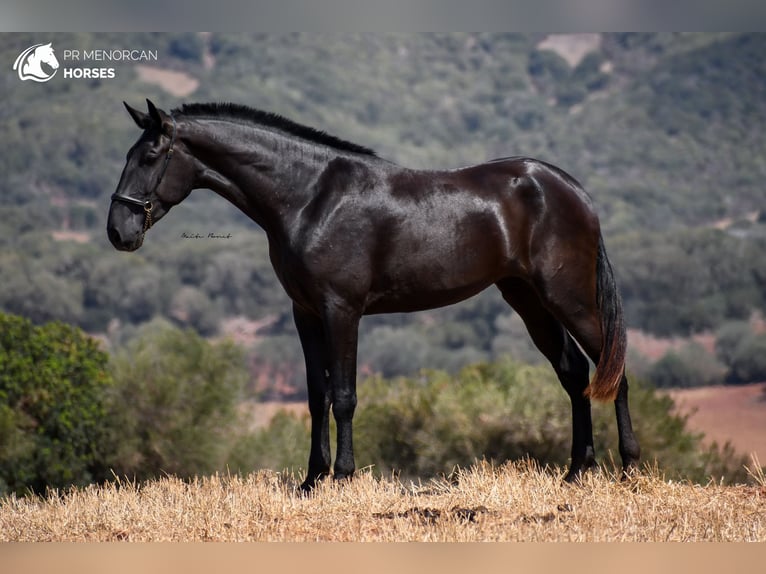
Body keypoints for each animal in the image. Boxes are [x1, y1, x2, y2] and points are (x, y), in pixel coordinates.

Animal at [105, 100, 640, 490]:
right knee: (574, 374)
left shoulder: (341, 310)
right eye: (126, 155)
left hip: (568, 297)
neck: (310, 197)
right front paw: (311, 480)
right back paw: (577, 472)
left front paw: (342, 476)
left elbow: (344, 395)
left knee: (611, 369)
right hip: (528, 300)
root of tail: (571, 189)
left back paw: (630, 468)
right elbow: (316, 395)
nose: (118, 231)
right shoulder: (304, 313)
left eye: (149, 157)